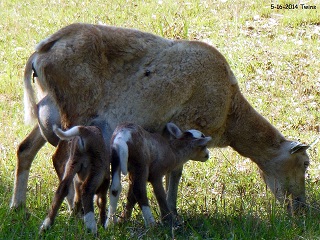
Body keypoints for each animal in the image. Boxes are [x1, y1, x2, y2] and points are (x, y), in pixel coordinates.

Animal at [11, 23, 310, 214]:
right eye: (305, 164)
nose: (301, 207)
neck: (230, 115)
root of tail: (40, 53)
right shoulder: (188, 123)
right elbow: (176, 171)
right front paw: (174, 210)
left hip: (50, 111)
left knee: (25, 149)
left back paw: (18, 206)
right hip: (74, 112)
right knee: (61, 159)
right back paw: (73, 209)